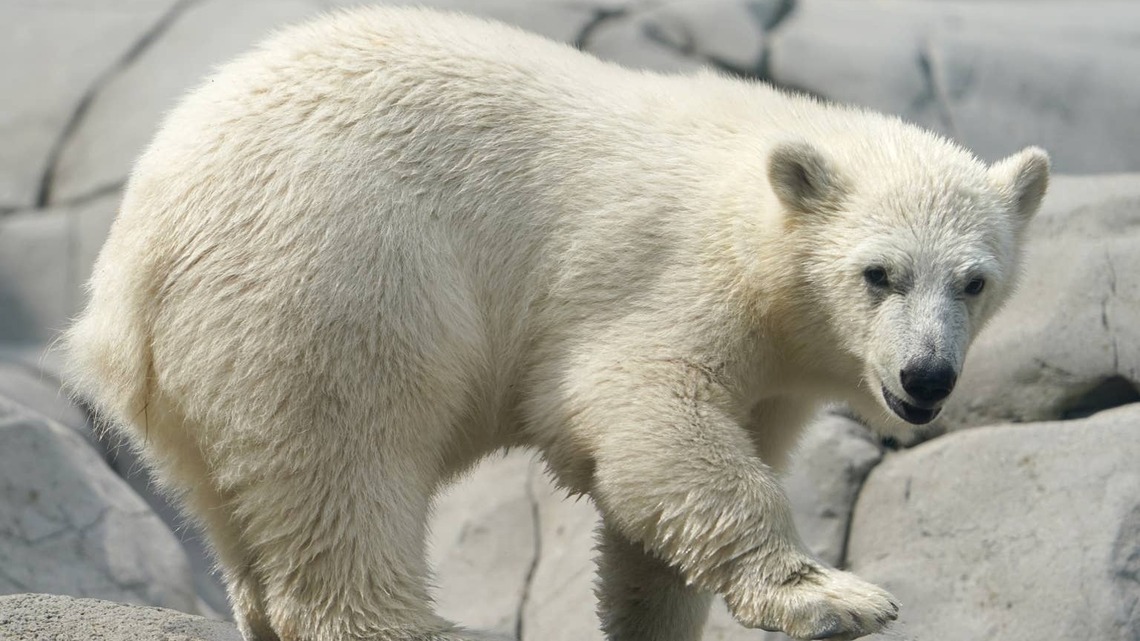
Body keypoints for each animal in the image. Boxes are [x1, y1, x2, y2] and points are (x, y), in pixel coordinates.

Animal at [63, 7, 1049, 641]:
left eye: (974, 281)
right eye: (879, 273)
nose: (926, 376)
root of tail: (128, 270)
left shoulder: (770, 370)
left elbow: (662, 497)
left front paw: (657, 620)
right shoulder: (664, 279)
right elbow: (645, 416)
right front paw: (835, 598)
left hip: (195, 368)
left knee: (234, 491)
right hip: (330, 272)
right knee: (347, 446)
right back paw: (412, 623)